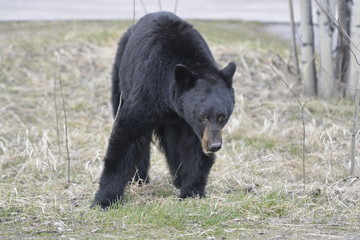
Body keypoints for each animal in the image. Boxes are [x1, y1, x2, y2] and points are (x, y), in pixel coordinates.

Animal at [93, 11, 236, 208]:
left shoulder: (192, 126)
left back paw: (177, 179)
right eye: (202, 116)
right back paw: (139, 178)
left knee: (173, 144)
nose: (214, 146)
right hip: (120, 77)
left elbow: (194, 149)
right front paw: (104, 199)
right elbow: (127, 133)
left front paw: (192, 192)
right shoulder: (149, 88)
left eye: (222, 116)